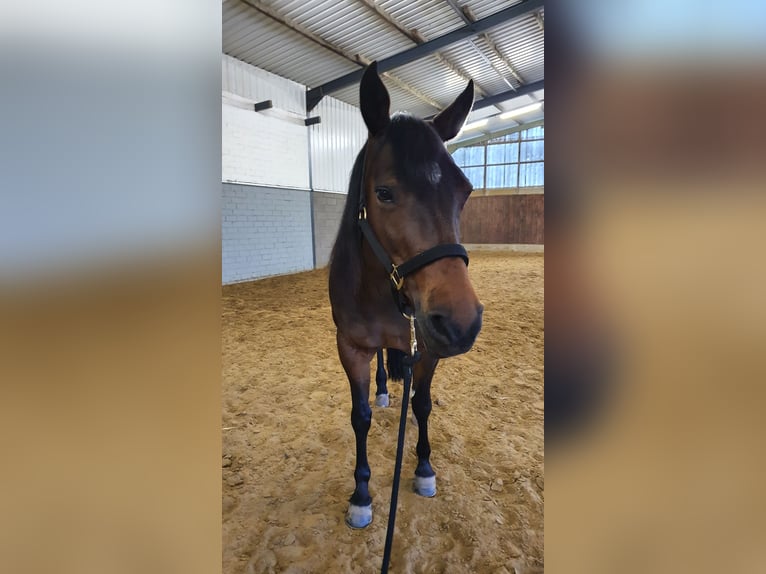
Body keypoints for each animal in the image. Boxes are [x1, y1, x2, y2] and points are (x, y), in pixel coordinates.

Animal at [330, 63, 486, 532]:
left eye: (465, 191)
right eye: (384, 192)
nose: (461, 322)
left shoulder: (428, 349)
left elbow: (421, 403)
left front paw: (424, 470)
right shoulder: (350, 347)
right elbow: (359, 416)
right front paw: (361, 495)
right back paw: (384, 387)